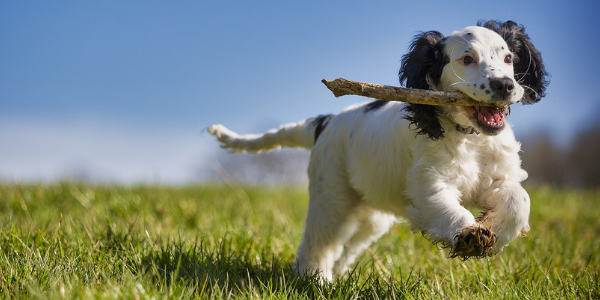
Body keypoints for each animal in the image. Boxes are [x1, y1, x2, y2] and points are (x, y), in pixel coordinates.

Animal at [210, 19, 548, 280]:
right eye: (467, 59)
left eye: (508, 58)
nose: (506, 86)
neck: (469, 137)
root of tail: (327, 121)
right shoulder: (428, 184)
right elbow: (447, 207)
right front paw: (468, 235)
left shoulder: (499, 177)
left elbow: (520, 200)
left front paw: (493, 232)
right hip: (331, 196)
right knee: (318, 243)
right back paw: (315, 280)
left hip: (370, 216)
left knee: (345, 248)